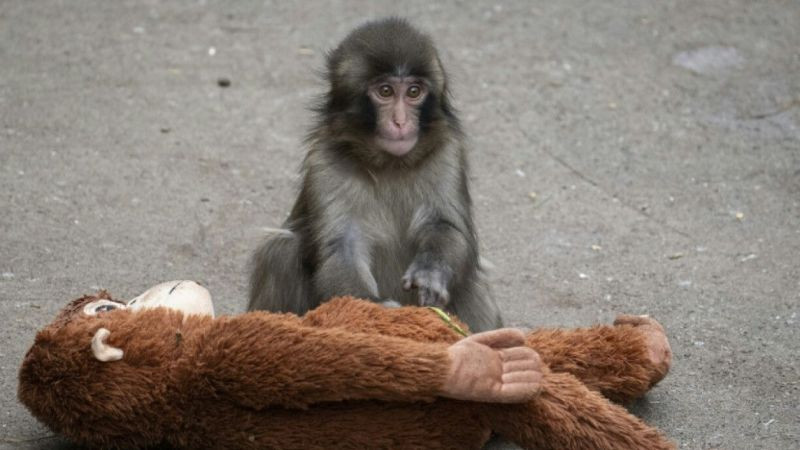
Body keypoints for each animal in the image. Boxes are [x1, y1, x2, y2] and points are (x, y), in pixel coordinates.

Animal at [248, 18, 503, 332]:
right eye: (385, 92)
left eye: (414, 92)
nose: (401, 121)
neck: (389, 163)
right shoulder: (325, 162)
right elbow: (343, 247)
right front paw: (377, 309)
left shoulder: (447, 154)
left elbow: (446, 226)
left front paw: (431, 272)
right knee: (280, 250)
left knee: (470, 280)